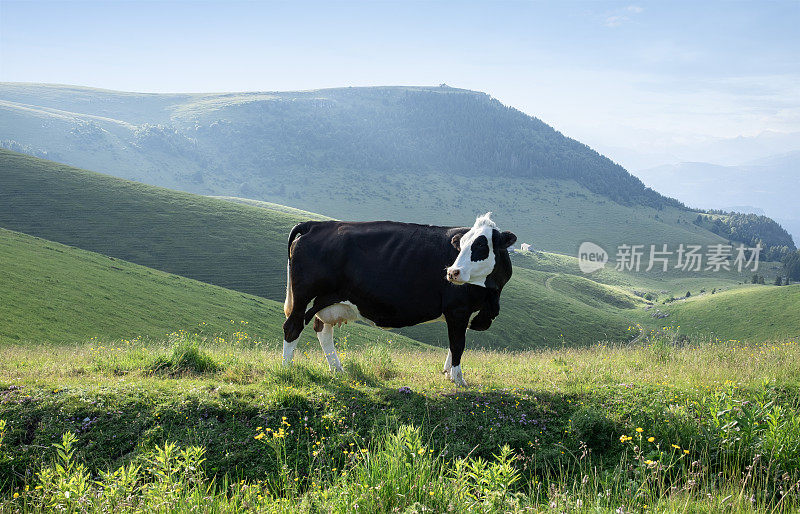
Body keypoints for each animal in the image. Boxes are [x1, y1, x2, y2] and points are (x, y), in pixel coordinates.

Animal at [282, 211, 520, 384]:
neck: (492, 294)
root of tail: (315, 224)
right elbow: (458, 344)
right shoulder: (457, 309)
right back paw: (287, 369)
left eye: (480, 244)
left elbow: (456, 343)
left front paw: (448, 373)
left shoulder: (465, 312)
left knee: (322, 330)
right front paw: (458, 380)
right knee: (292, 327)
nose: (452, 272)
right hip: (303, 297)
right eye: (460, 246)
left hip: (326, 301)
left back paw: (337, 369)